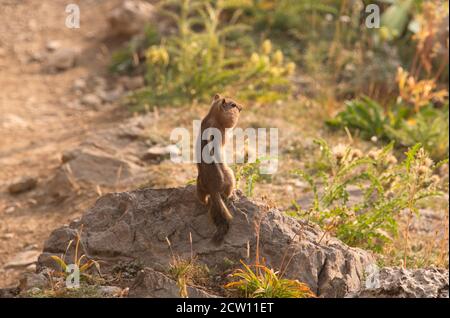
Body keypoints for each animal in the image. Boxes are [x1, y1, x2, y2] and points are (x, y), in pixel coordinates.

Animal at [197, 93, 243, 245]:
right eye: (233, 105)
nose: (241, 108)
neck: (212, 114)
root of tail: (213, 189)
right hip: (230, 175)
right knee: (227, 194)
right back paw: (234, 194)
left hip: (199, 185)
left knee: (202, 198)